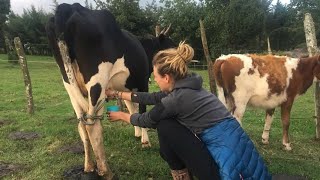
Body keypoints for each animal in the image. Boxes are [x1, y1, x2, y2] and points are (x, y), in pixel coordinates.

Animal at [45, 3, 152, 178]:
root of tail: (68, 7)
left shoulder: (126, 88)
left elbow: (131, 107)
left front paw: (137, 133)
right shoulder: (143, 84)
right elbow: (140, 109)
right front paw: (145, 141)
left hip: (69, 83)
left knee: (82, 124)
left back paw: (89, 166)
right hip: (97, 82)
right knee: (92, 126)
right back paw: (105, 171)